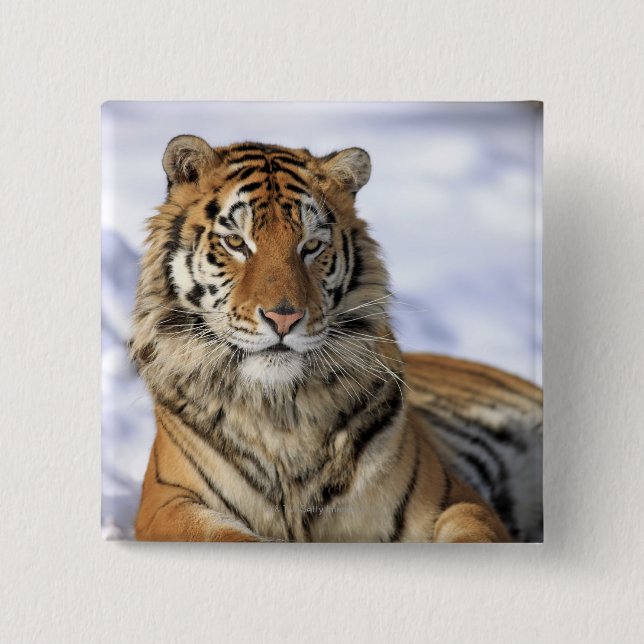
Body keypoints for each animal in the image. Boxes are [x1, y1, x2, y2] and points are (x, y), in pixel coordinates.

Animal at [130, 135, 543, 543]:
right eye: (236, 242)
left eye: (311, 246)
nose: (284, 317)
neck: (281, 413)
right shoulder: (167, 503)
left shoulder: (453, 497)